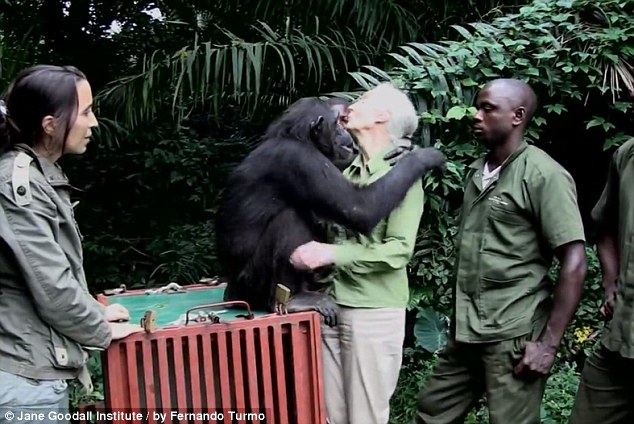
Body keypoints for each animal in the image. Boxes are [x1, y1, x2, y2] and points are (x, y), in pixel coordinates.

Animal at [215, 97, 442, 324]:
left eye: (344, 121)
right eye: (338, 123)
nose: (346, 133)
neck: (300, 138)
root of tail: (232, 294)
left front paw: (405, 151)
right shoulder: (301, 160)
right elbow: (358, 208)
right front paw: (422, 157)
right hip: (252, 282)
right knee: (290, 218)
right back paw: (293, 299)